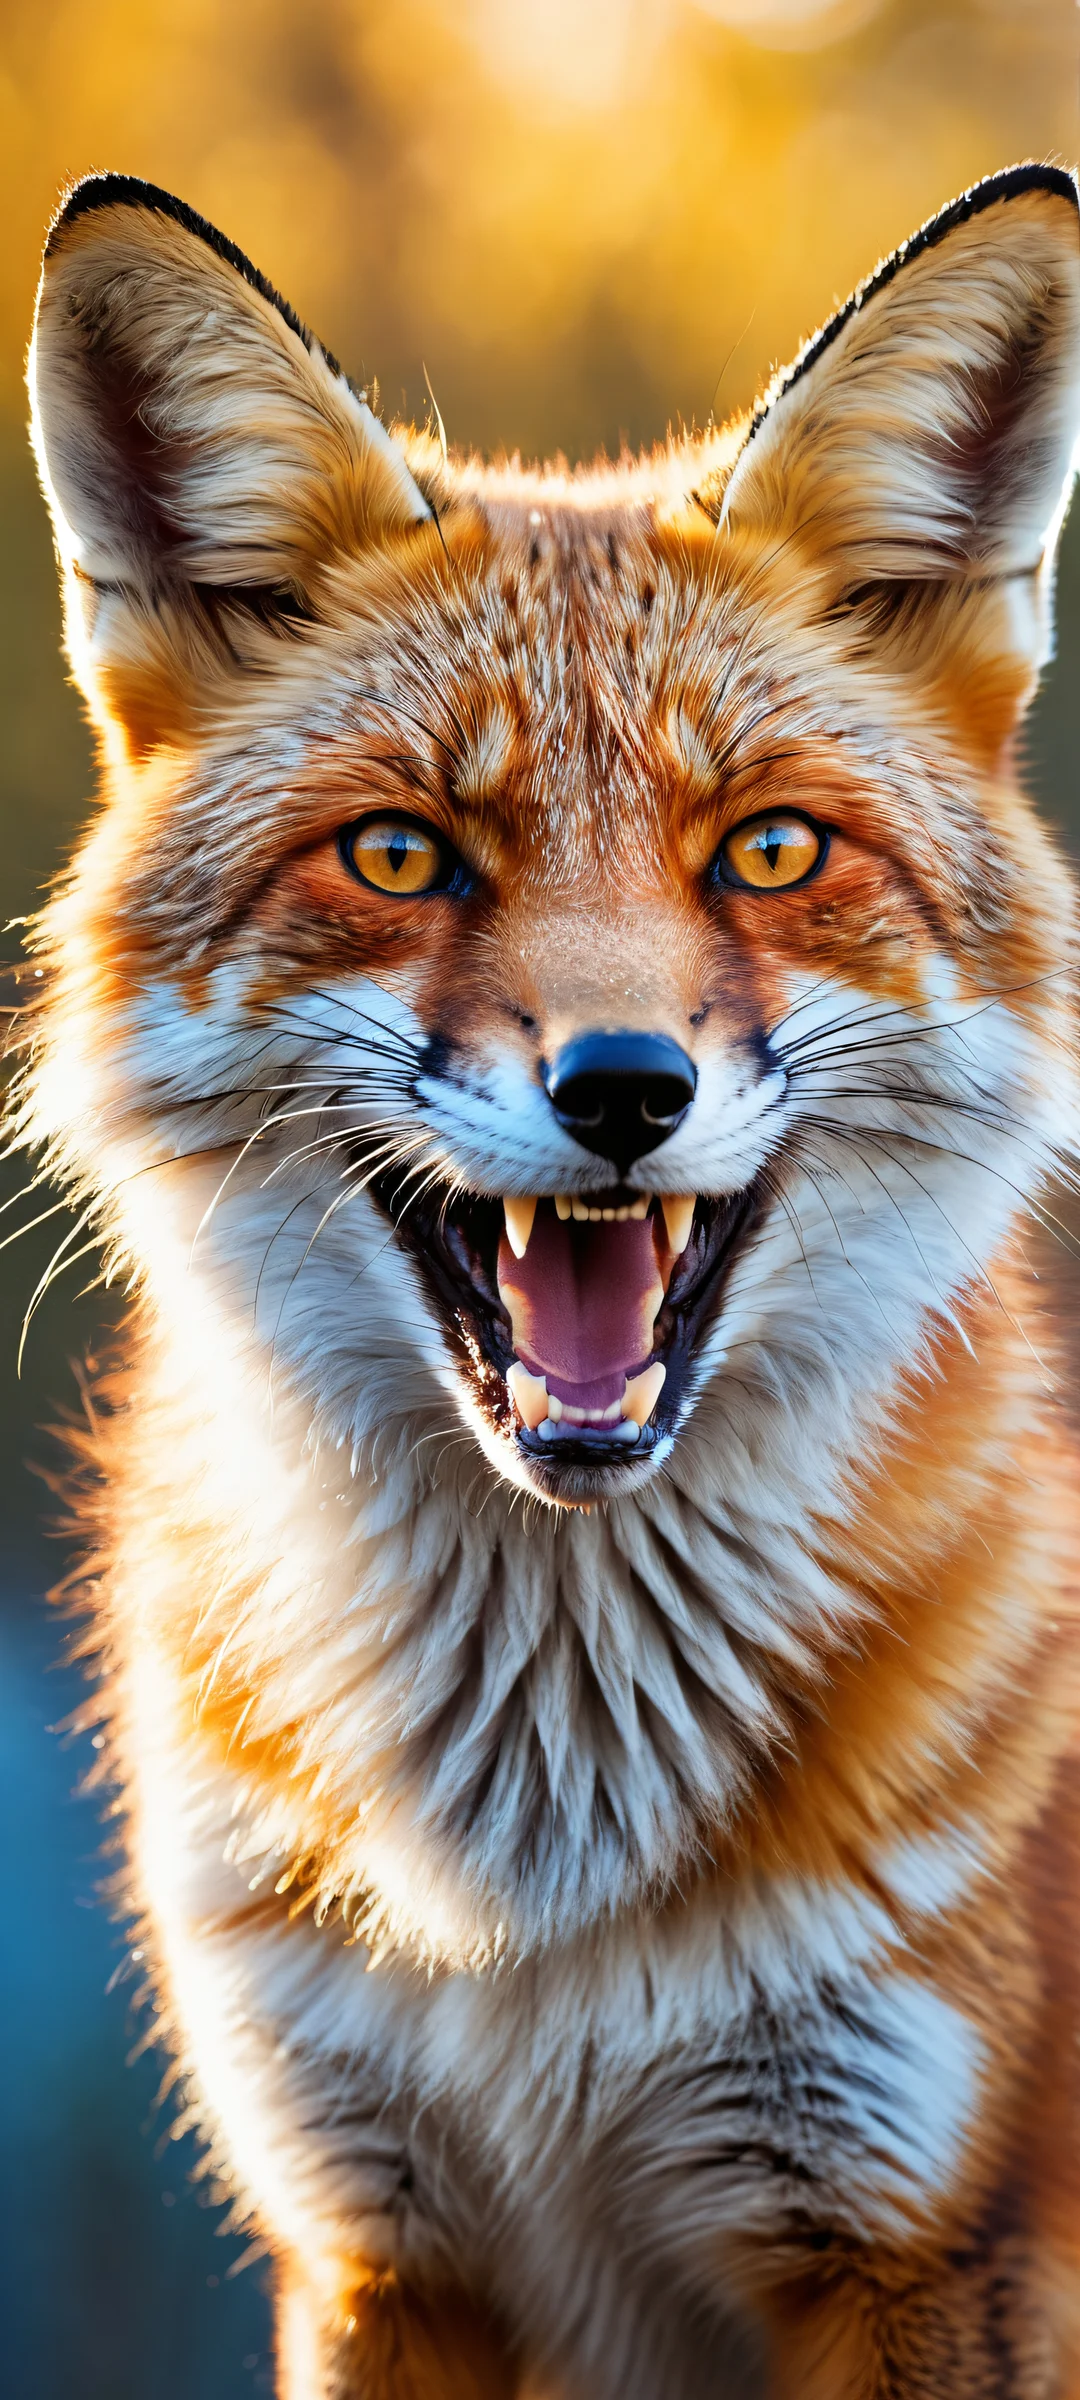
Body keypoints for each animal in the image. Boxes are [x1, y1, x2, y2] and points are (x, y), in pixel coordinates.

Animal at [14, 158, 1080, 2397]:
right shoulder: (373, 2246)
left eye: (770, 853)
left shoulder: (927, 2238)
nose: (622, 1090)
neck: (539, 1903)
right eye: (402, 856)